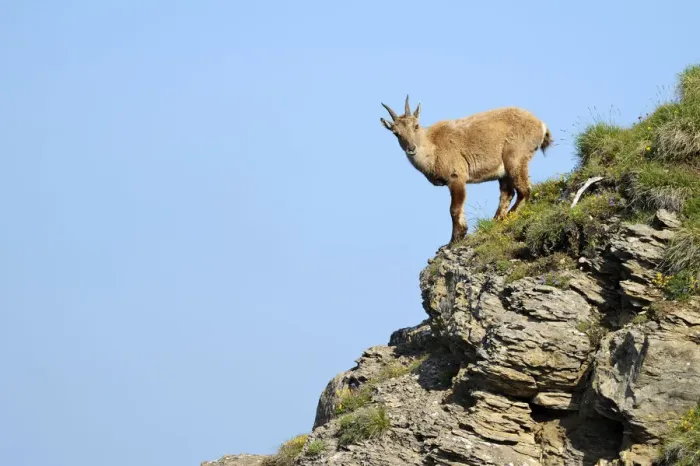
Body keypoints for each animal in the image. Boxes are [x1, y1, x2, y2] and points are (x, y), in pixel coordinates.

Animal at [380, 95, 552, 245]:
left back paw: (508, 217)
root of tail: (540, 124)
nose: (411, 148)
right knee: (507, 193)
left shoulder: (456, 177)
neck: (432, 147)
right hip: (504, 171)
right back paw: (496, 220)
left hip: (515, 159)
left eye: (416, 126)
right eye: (396, 133)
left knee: (524, 190)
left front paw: (454, 239)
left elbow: (454, 209)